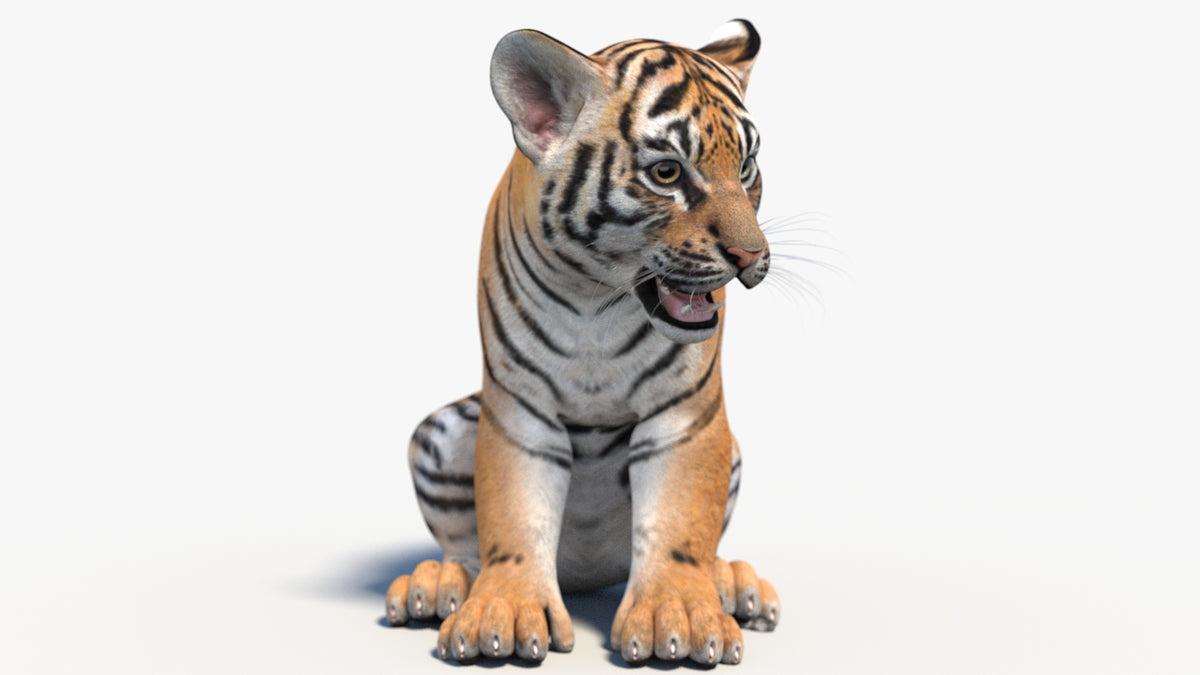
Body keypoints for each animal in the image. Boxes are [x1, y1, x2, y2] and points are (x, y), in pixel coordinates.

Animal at [386, 19, 782, 666]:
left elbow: (680, 523)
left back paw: (733, 581)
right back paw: (437, 584)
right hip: (440, 432)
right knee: (464, 546)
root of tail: (585, 577)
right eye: (667, 173)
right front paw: (502, 615)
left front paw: (682, 616)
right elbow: (514, 516)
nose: (751, 257)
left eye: (746, 167)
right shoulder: (521, 410)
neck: (598, 298)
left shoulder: (685, 414)